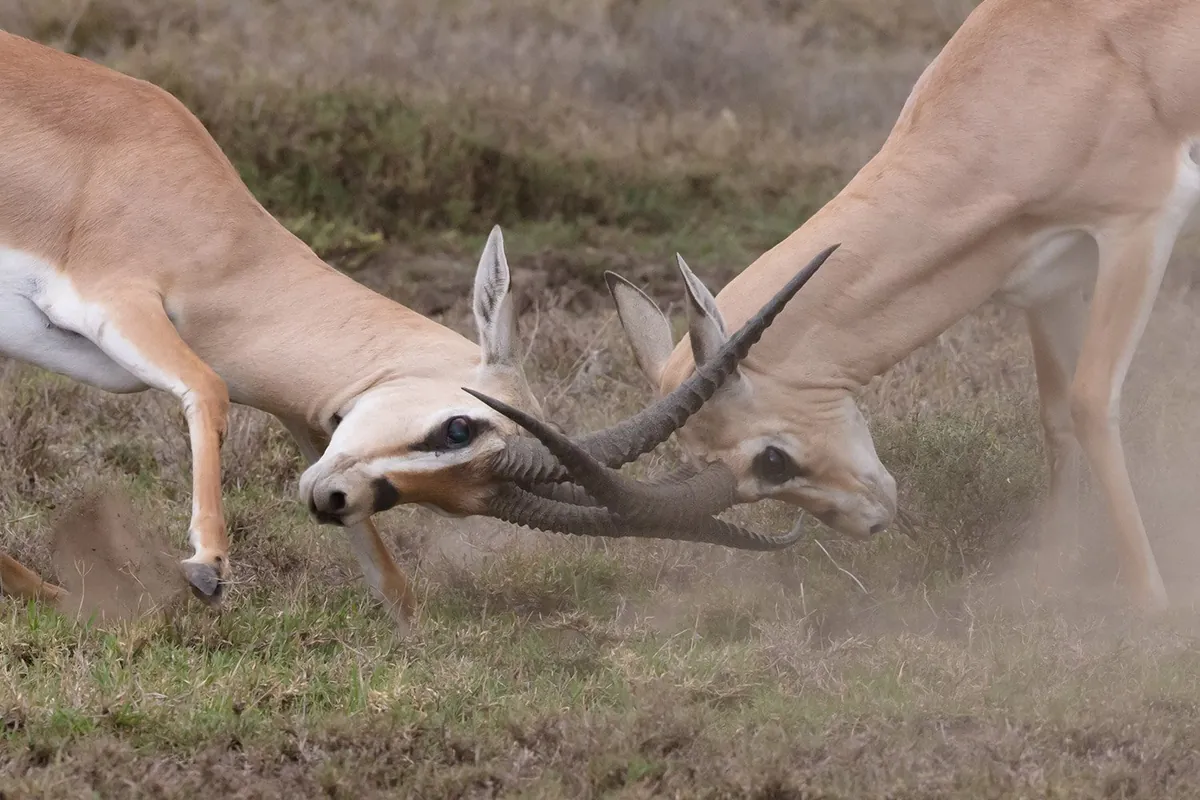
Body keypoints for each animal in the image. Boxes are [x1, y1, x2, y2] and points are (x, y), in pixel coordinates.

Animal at [0, 32, 822, 630]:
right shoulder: (116, 300)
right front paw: (206, 567)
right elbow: (208, 384)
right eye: (460, 427)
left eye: (453, 501)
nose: (333, 501)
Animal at [473, 0, 1200, 613]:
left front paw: (1152, 605)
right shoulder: (1046, 278)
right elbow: (1056, 415)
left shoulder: (1141, 225)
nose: (871, 520)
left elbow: (1090, 402)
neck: (1050, 59)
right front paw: (1050, 574)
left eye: (771, 460)